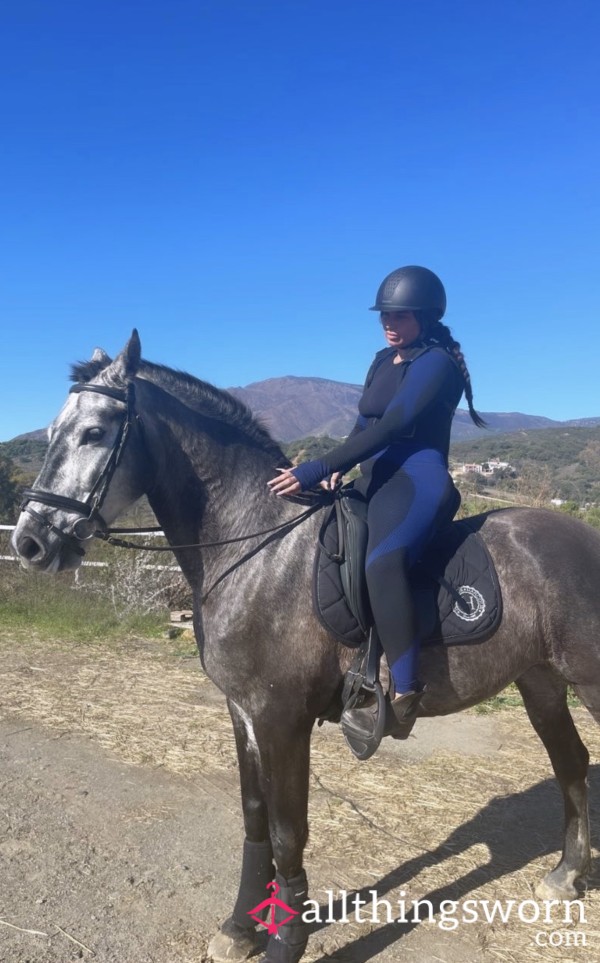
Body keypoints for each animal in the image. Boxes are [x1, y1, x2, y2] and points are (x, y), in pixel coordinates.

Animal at [10, 334, 600, 963]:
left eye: (94, 432)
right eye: (51, 431)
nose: (30, 543)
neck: (252, 547)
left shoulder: (281, 717)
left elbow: (288, 829)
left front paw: (286, 939)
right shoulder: (242, 711)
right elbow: (255, 818)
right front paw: (240, 927)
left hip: (588, 681)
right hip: (540, 680)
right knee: (571, 762)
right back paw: (566, 874)